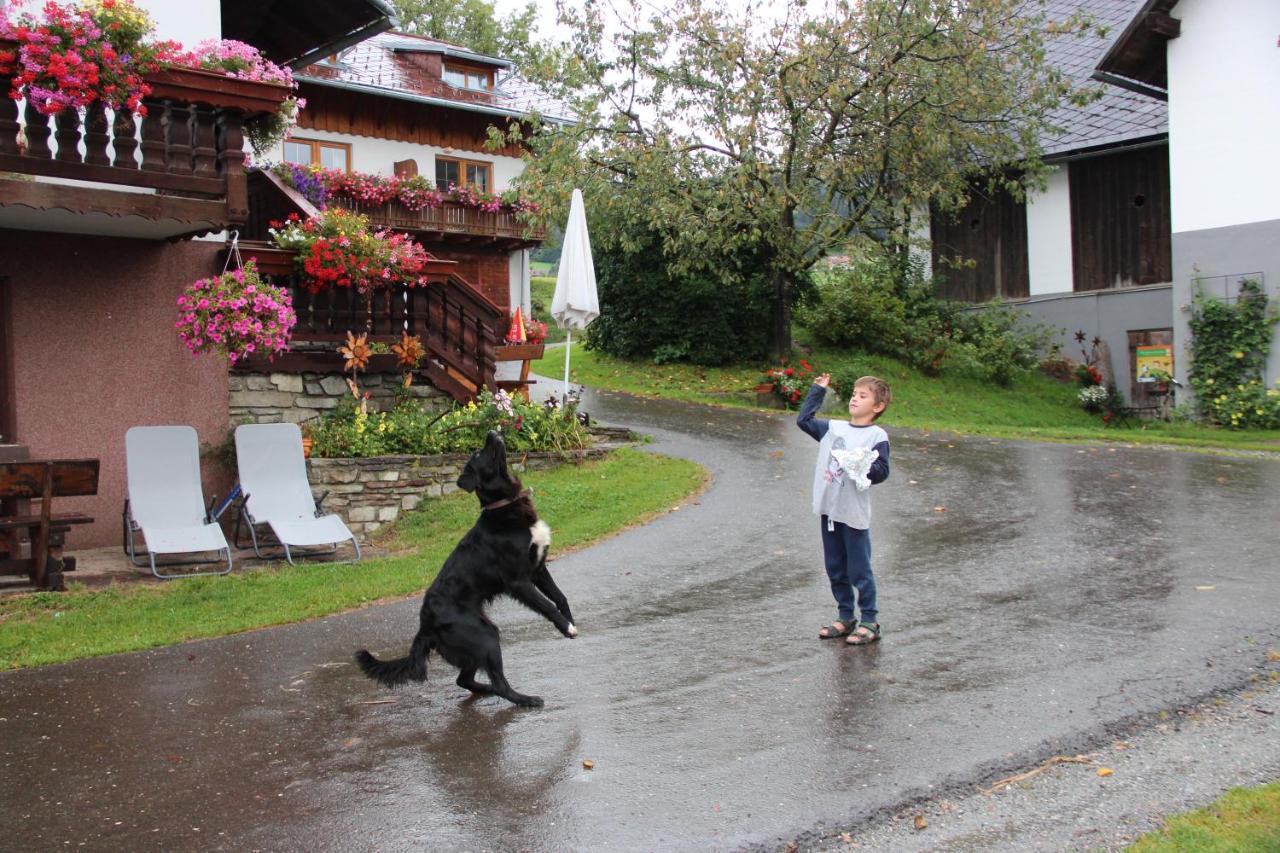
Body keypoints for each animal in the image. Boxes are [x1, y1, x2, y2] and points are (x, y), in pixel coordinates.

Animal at [360, 427, 581, 701]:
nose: (491, 430)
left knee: (463, 679)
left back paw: (487, 691)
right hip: (484, 635)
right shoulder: (518, 581)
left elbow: (560, 597)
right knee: (498, 683)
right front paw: (566, 627)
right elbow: (547, 605)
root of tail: (425, 627)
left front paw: (569, 623)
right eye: (478, 453)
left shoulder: (538, 568)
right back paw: (527, 700)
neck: (505, 507)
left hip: (477, 637)